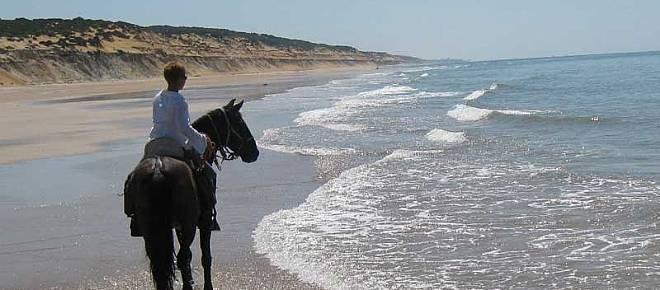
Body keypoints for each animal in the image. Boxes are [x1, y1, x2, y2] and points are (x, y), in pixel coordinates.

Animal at [127, 98, 260, 288]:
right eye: (240, 123)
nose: (254, 152)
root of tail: (158, 170)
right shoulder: (204, 221)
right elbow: (206, 257)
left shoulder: (177, 227)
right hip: (190, 224)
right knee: (181, 257)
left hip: (151, 229)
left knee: (162, 263)